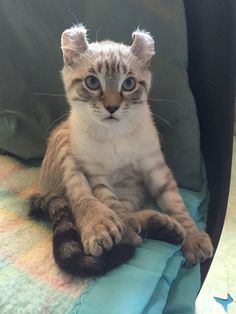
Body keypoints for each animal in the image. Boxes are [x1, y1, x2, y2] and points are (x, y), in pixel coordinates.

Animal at [30, 25, 214, 276]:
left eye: (128, 84)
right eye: (92, 82)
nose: (112, 107)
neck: (115, 133)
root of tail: (41, 188)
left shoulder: (154, 166)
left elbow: (176, 203)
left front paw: (193, 238)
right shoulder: (96, 176)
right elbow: (109, 203)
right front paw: (123, 228)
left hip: (133, 192)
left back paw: (162, 226)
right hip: (67, 152)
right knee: (80, 201)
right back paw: (106, 229)